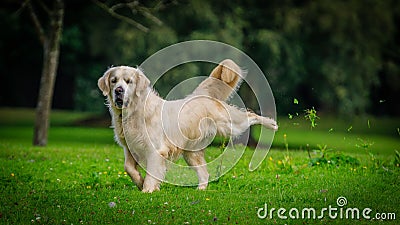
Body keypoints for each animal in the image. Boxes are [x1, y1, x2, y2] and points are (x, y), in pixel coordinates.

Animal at [98, 59, 276, 192]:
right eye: (113, 81)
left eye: (129, 82)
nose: (119, 90)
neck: (133, 112)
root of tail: (201, 94)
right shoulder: (129, 148)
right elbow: (128, 168)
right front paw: (140, 182)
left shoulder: (156, 150)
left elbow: (152, 172)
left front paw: (147, 189)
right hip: (192, 153)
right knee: (204, 173)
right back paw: (200, 190)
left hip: (229, 124)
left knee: (251, 115)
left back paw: (272, 124)